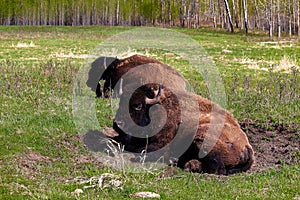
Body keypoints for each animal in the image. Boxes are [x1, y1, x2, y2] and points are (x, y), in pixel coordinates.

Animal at [113, 83, 254, 174]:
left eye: (138, 106)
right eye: (120, 103)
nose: (117, 124)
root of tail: (246, 146)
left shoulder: (162, 142)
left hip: (201, 137)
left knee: (218, 169)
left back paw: (187, 165)